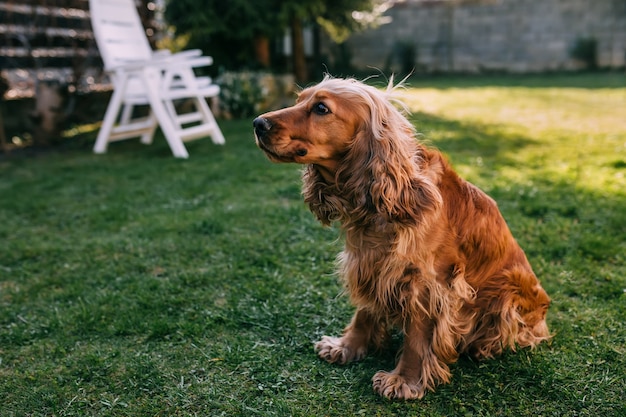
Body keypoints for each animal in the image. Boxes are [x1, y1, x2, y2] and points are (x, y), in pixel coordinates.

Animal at [251, 76, 548, 398]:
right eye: (298, 100)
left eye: (321, 108)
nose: (257, 123)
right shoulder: (370, 263)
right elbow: (364, 312)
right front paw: (347, 347)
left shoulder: (428, 283)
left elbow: (417, 338)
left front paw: (404, 381)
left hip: (509, 295)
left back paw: (485, 346)